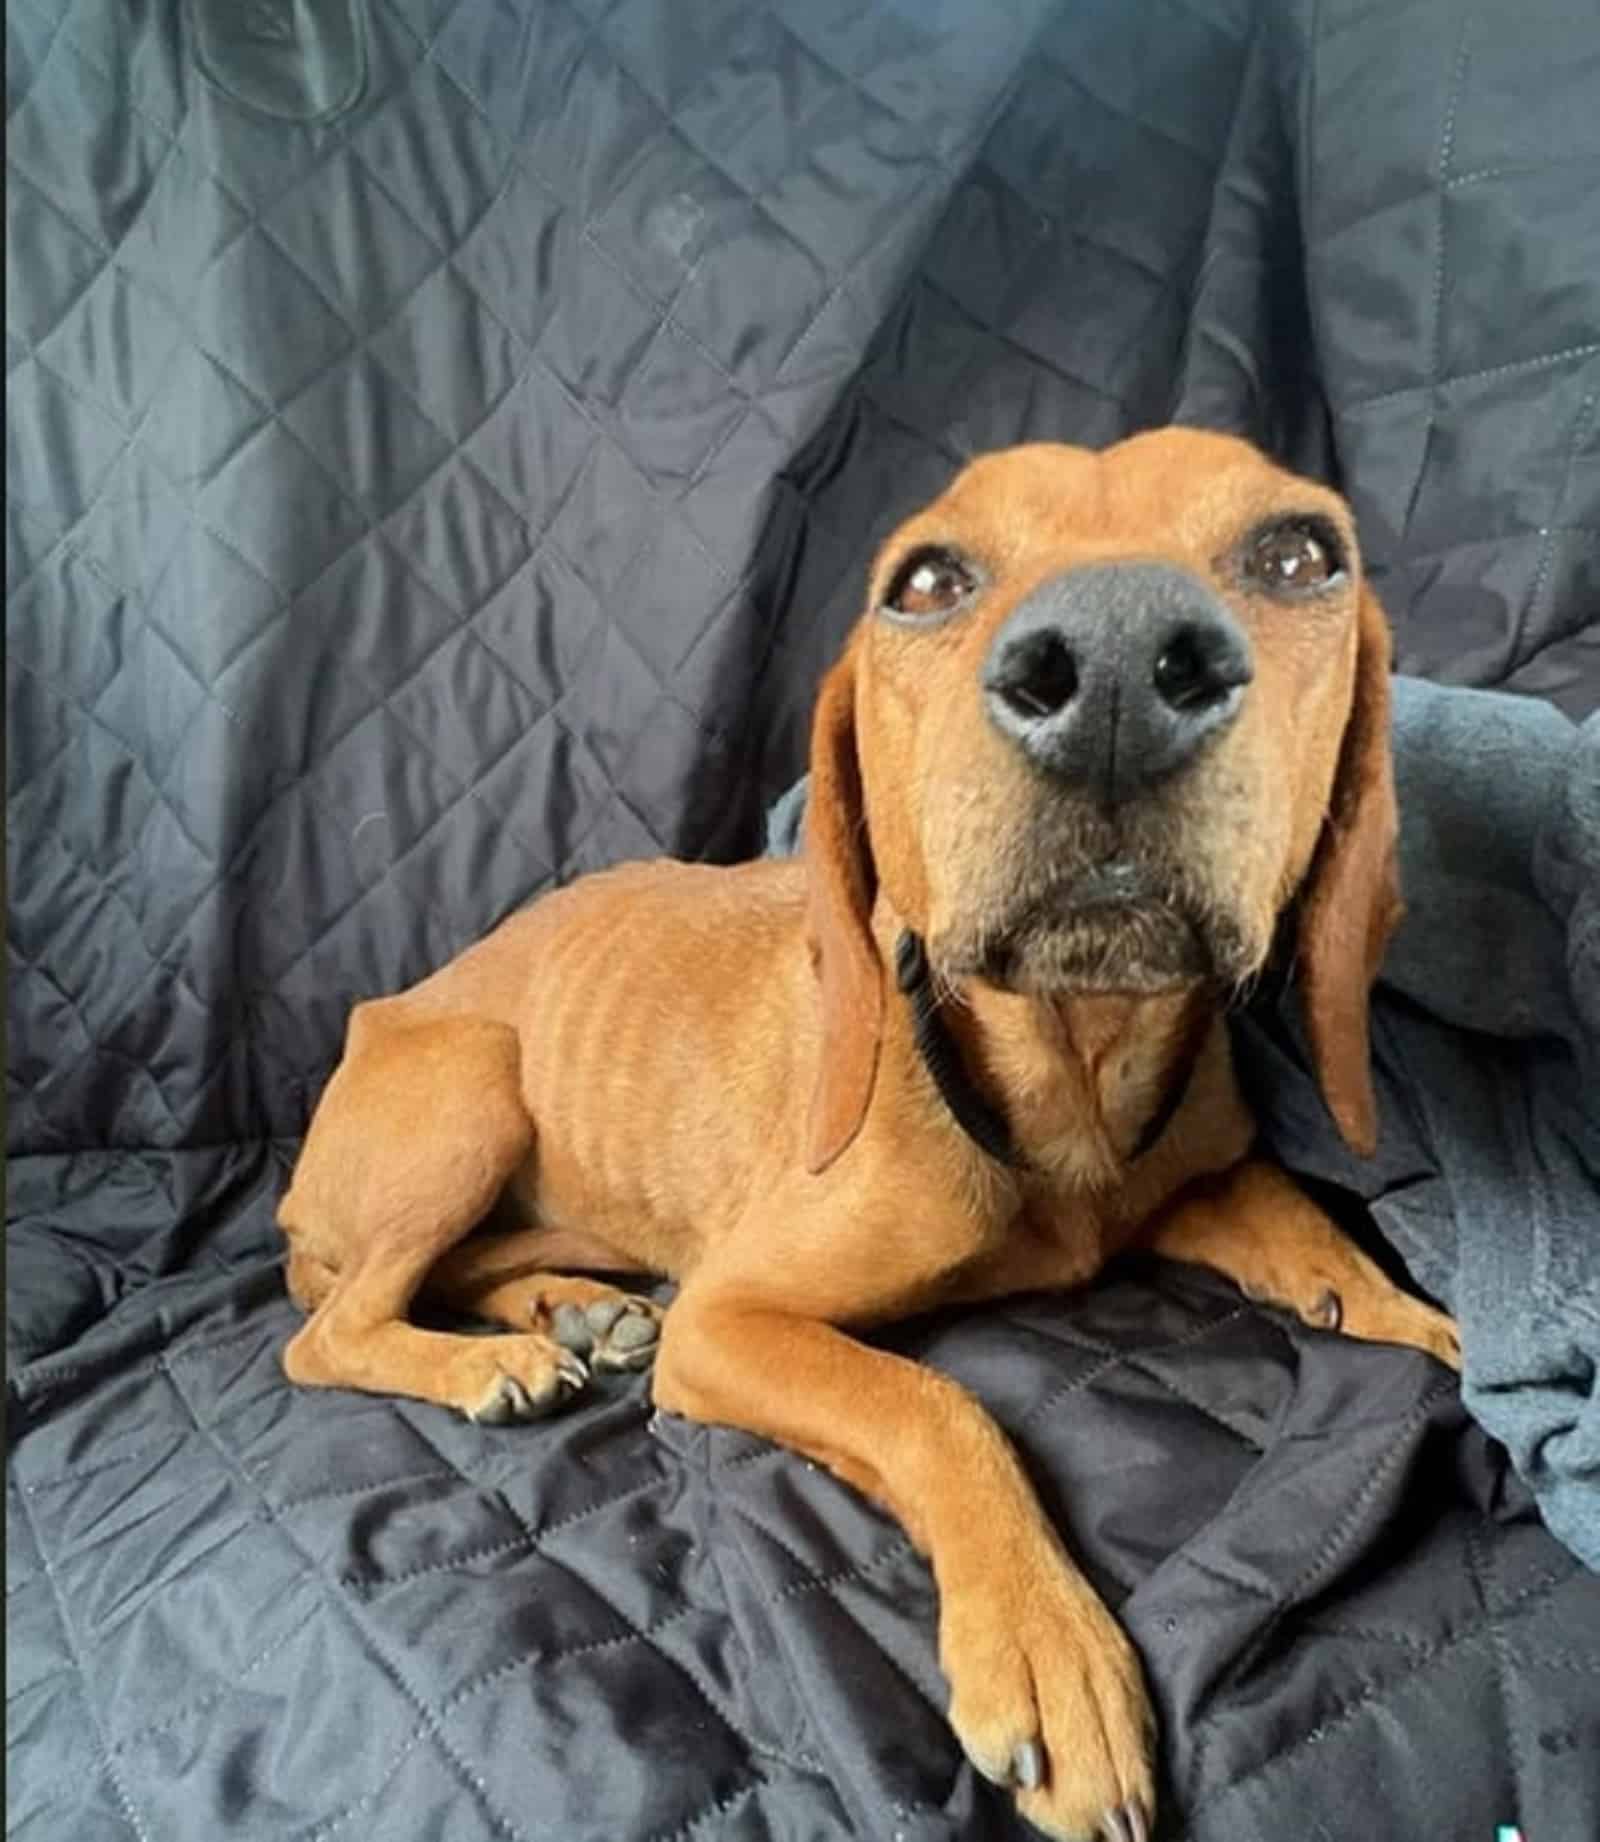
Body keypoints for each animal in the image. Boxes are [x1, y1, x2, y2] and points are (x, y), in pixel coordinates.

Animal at [281, 431, 1458, 1842]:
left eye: (1298, 555)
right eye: (925, 582)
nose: (1117, 670)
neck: (1065, 1074)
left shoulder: (1198, 1178)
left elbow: (1310, 1232)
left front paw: (1420, 1325)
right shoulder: (730, 1322)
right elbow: (938, 1407)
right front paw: (1048, 1645)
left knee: (446, 1274)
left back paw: (571, 1313)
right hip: (474, 1092)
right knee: (327, 1331)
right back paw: (487, 1363)